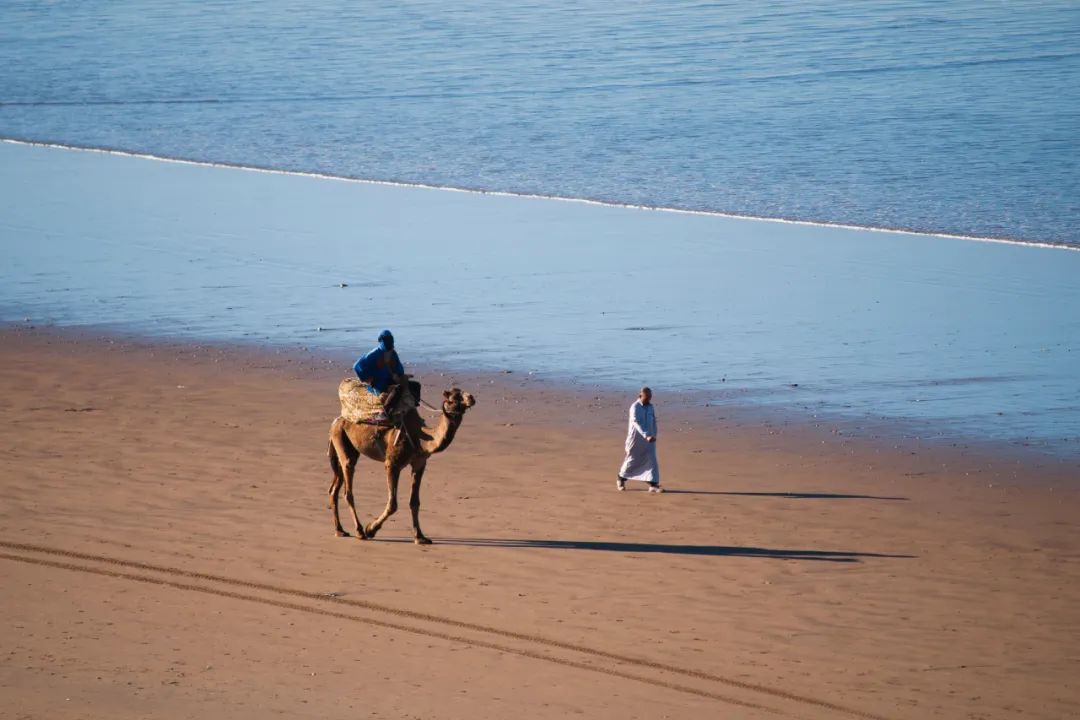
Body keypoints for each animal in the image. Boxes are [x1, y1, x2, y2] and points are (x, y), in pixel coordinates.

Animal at [326, 388, 475, 546]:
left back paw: (340, 530)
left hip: (347, 447)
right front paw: (371, 529)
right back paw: (360, 531)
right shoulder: (392, 464)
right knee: (348, 488)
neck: (422, 439)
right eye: (453, 398)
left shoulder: (419, 464)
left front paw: (420, 536)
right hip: (341, 438)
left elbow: (414, 502)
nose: (471, 398)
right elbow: (393, 504)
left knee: (334, 487)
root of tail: (336, 421)